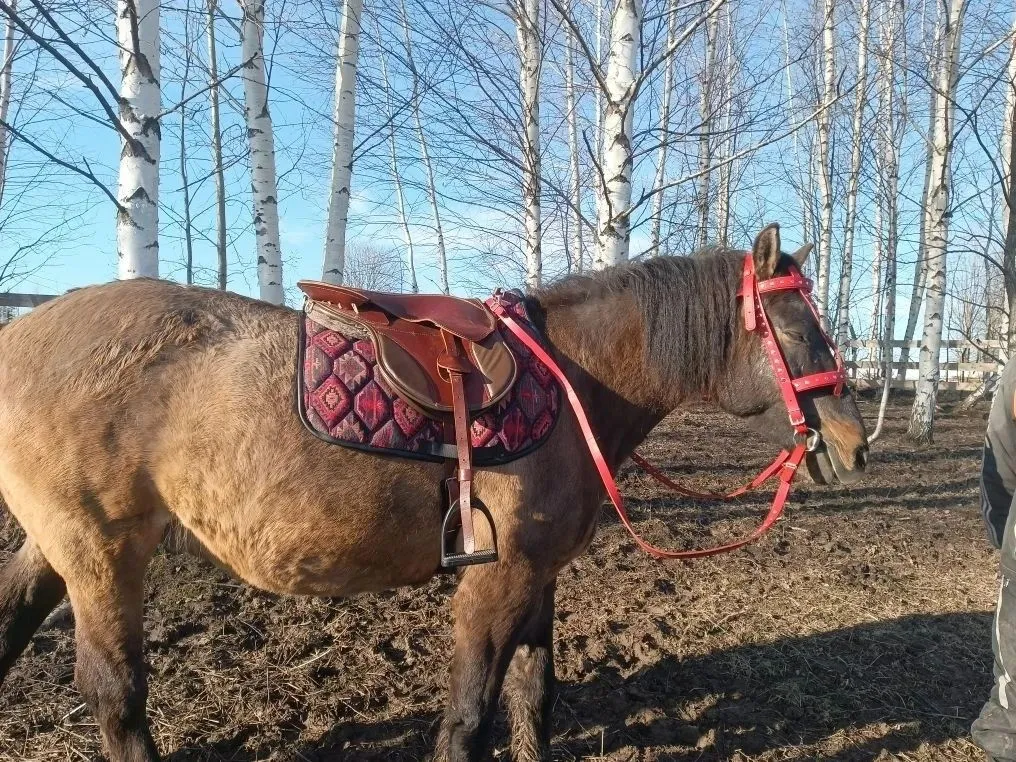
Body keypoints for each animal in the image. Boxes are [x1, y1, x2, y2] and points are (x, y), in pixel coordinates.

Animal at [0, 223, 868, 761]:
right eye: (798, 330)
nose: (856, 445)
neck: (570, 382)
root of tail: (20, 332)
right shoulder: (498, 579)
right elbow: (471, 715)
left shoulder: (539, 577)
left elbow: (532, 694)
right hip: (100, 554)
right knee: (114, 693)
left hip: (54, 549)